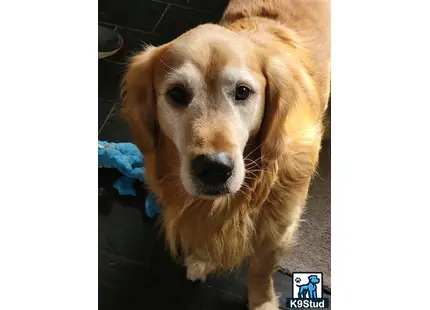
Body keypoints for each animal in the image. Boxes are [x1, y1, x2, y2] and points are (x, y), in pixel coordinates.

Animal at [122, 0, 330, 308]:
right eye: (177, 94)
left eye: (243, 91)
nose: (214, 168)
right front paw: (202, 259)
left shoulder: (280, 227)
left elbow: (260, 269)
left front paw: (262, 302)